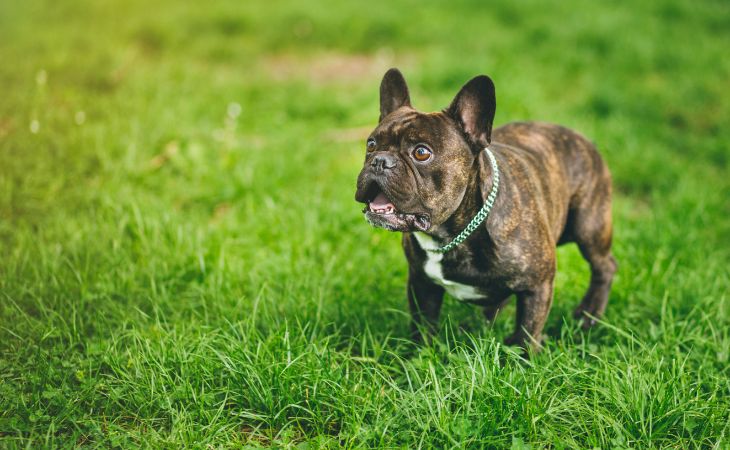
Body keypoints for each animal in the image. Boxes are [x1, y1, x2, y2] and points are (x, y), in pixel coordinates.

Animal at [352, 69, 616, 352]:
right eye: (371, 144)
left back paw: (588, 315)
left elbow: (527, 331)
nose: (380, 161)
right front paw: (419, 355)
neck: (451, 235)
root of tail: (583, 139)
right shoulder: (421, 283)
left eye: (421, 152)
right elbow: (423, 325)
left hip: (589, 227)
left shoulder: (538, 286)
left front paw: (523, 358)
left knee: (605, 266)